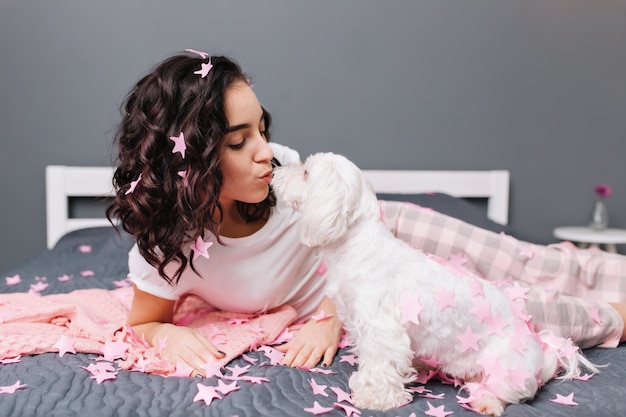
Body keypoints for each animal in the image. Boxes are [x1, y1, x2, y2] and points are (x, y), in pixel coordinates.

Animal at [272, 152, 596, 412]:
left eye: (305, 172)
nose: (276, 167)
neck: (357, 246)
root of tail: (543, 357)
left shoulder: (382, 330)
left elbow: (381, 364)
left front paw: (376, 398)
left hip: (505, 369)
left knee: (511, 395)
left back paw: (487, 402)